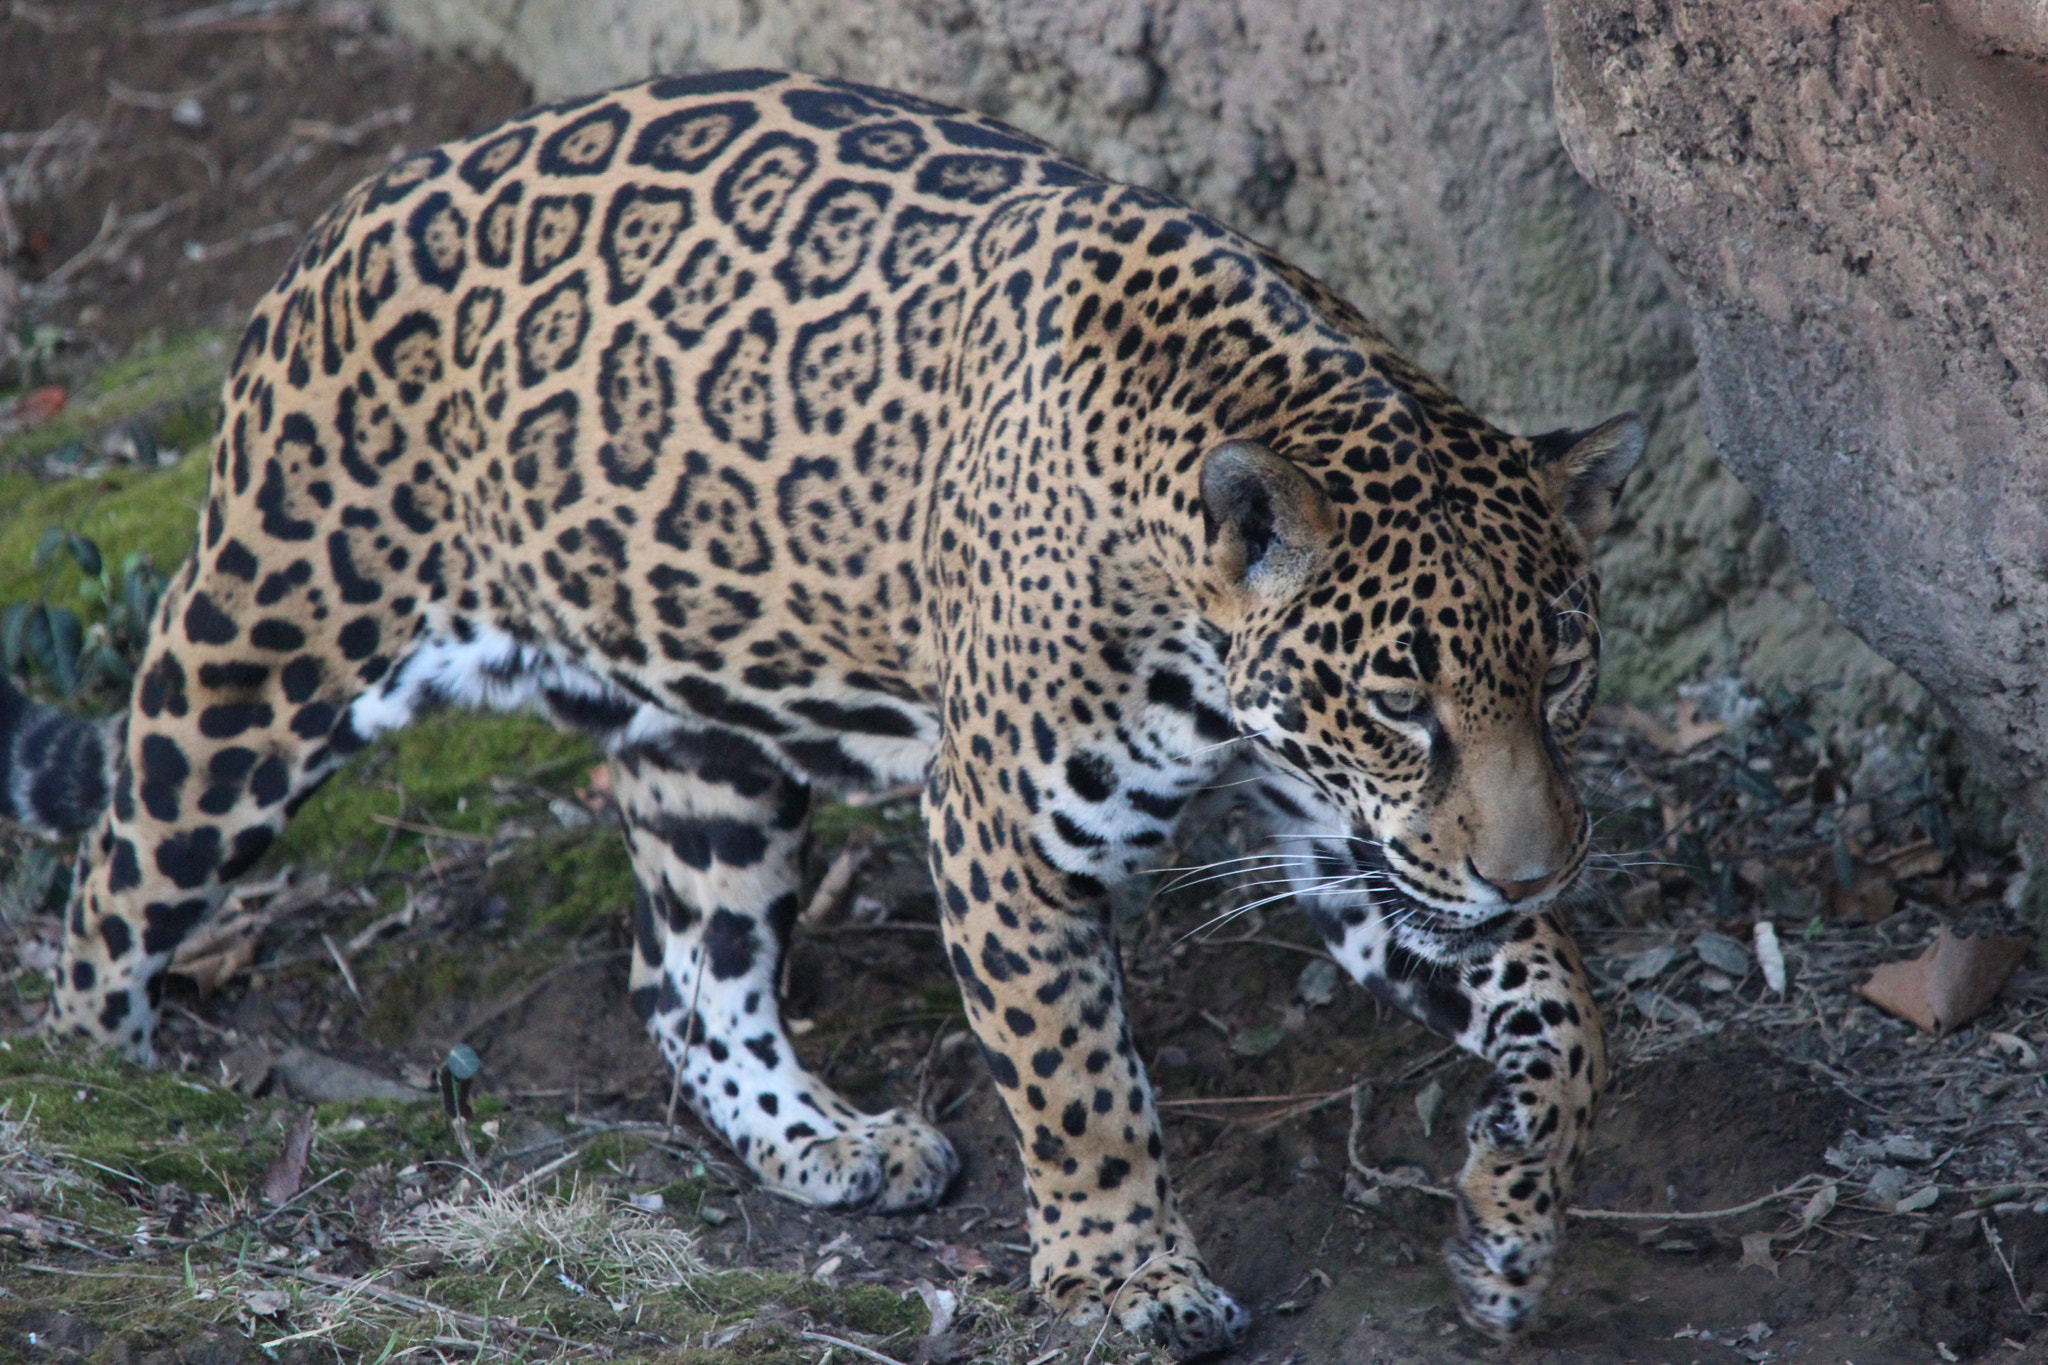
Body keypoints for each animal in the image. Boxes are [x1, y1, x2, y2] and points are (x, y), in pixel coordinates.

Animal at [1, 69, 1644, 1358]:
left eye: (1561, 668)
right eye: (1397, 698)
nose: (1536, 868)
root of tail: (353, 209)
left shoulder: (1369, 848)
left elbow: (1569, 1018)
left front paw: (1507, 1228)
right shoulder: (1005, 834)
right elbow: (1081, 1083)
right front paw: (1128, 1280)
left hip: (703, 742)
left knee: (687, 978)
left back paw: (826, 1141)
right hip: (270, 635)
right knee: (118, 873)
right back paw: (97, 1088)